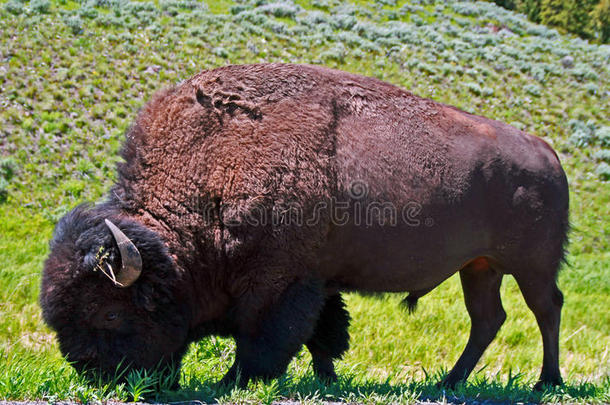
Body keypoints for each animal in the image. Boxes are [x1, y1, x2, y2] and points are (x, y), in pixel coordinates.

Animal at [40, 62, 568, 388]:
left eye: (111, 314)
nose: (97, 377)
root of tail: (547, 152)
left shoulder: (280, 283)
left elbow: (266, 339)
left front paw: (234, 382)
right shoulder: (318, 281)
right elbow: (323, 334)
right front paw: (328, 379)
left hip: (532, 265)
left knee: (545, 309)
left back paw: (546, 382)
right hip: (479, 266)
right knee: (488, 318)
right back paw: (449, 382)